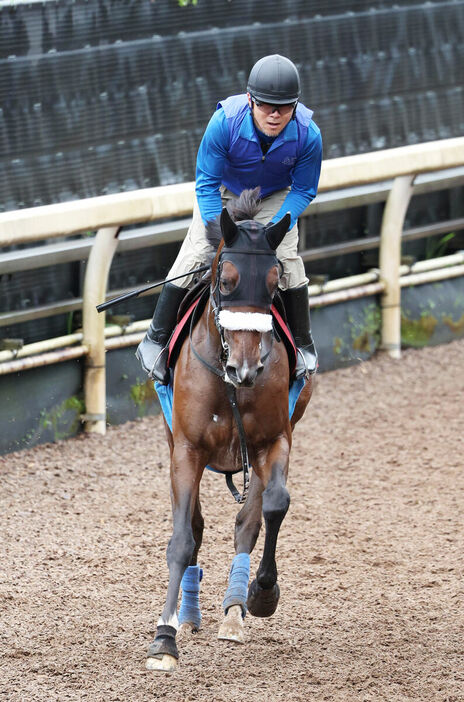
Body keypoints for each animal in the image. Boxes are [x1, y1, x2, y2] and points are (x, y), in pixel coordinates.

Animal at [149, 190, 314, 672]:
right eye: (226, 282)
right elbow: (183, 538)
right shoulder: (186, 448)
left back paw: (235, 611)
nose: (247, 368)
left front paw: (262, 594)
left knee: (248, 521)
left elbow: (273, 507)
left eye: (275, 285)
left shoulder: (274, 440)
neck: (230, 384)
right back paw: (189, 614)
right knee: (197, 527)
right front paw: (165, 637)